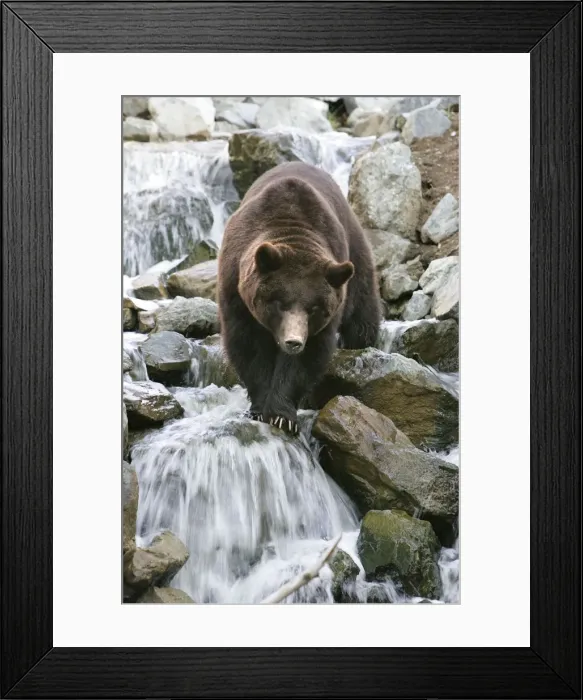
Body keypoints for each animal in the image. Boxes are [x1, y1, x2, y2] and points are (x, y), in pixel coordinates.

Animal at [217, 161, 381, 434]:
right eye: (278, 302)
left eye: (315, 308)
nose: (293, 341)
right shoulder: (236, 291)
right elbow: (248, 346)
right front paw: (260, 407)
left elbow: (307, 358)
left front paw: (281, 415)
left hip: (354, 260)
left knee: (362, 314)